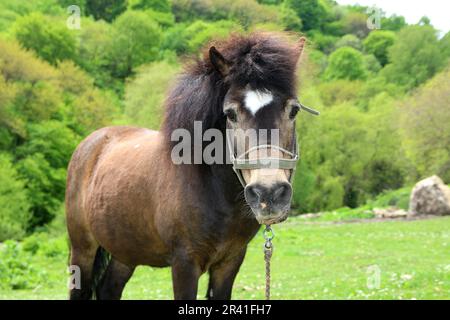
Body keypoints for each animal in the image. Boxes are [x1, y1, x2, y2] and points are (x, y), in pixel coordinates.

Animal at [66, 31, 306, 298]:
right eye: (231, 114)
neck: (211, 189)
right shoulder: (184, 263)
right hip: (82, 250)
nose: (268, 193)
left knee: (109, 287)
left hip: (125, 252)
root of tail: (92, 142)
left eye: (293, 110)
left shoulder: (230, 261)